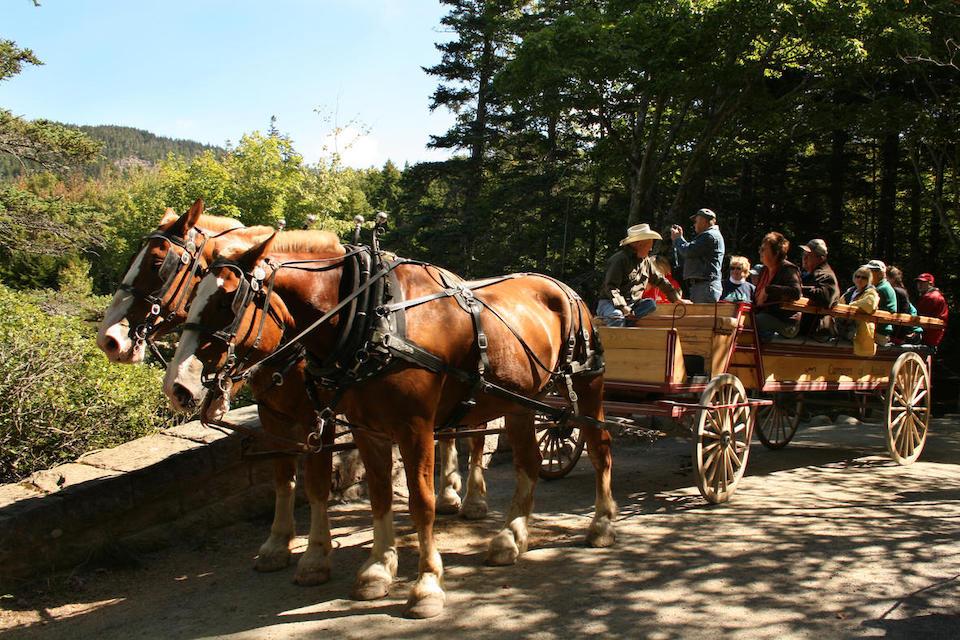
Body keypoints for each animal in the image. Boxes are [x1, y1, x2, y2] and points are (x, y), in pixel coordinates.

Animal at [97, 204, 488, 584]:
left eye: (157, 263)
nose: (109, 340)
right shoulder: (273, 414)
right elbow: (283, 478)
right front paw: (277, 543)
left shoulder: (317, 418)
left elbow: (316, 483)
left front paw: (315, 556)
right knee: (449, 432)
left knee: (474, 435)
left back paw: (469, 499)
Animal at [163, 232, 616, 616]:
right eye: (192, 294)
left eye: (227, 302)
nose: (178, 384)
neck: (371, 317)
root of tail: (563, 288)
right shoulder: (368, 429)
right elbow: (379, 495)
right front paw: (378, 569)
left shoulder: (415, 428)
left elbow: (421, 502)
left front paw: (427, 586)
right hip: (519, 403)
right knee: (529, 462)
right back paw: (511, 537)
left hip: (586, 383)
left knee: (600, 446)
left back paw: (601, 524)